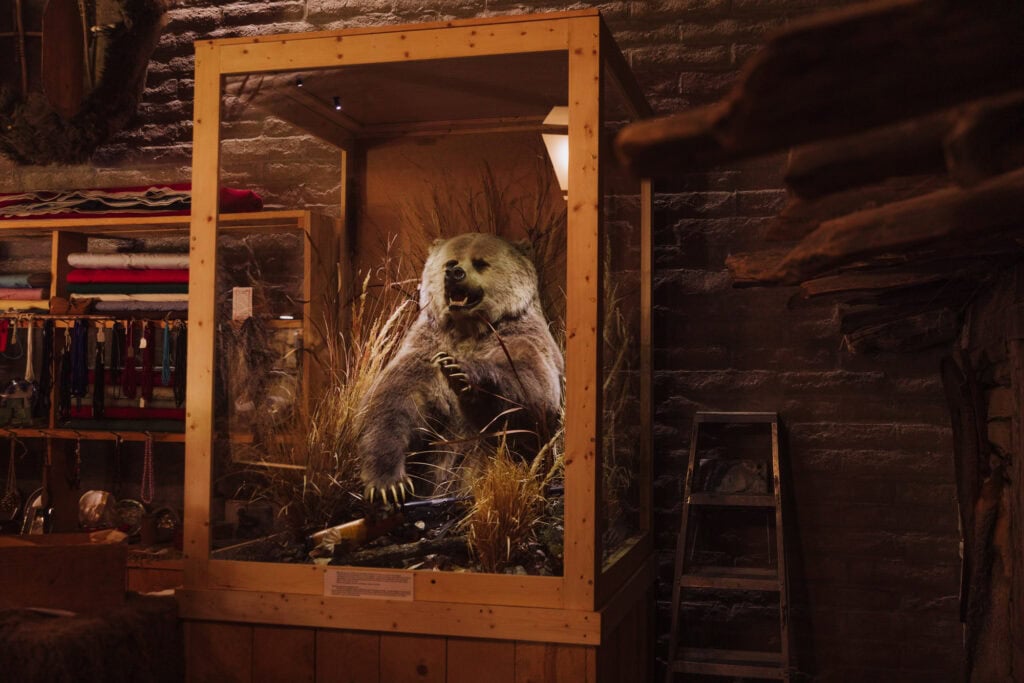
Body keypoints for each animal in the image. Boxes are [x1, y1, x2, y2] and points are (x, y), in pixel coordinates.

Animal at [356, 232, 564, 505]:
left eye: (480, 263)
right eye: (450, 261)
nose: (454, 273)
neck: (467, 330)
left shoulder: (520, 337)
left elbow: (532, 390)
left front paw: (461, 374)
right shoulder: (423, 353)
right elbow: (391, 405)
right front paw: (388, 485)